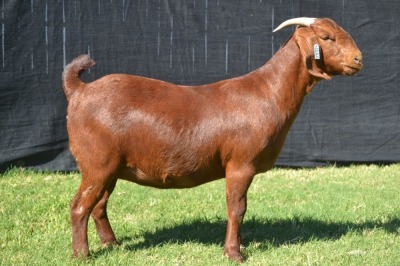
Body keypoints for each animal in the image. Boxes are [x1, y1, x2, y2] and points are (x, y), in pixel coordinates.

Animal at [63, 17, 362, 262]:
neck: (268, 92)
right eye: (326, 37)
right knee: (80, 206)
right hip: (96, 163)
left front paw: (237, 247)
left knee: (99, 206)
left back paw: (112, 244)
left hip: (111, 167)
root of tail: (79, 89)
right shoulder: (240, 164)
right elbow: (237, 208)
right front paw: (234, 253)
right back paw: (82, 254)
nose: (359, 59)